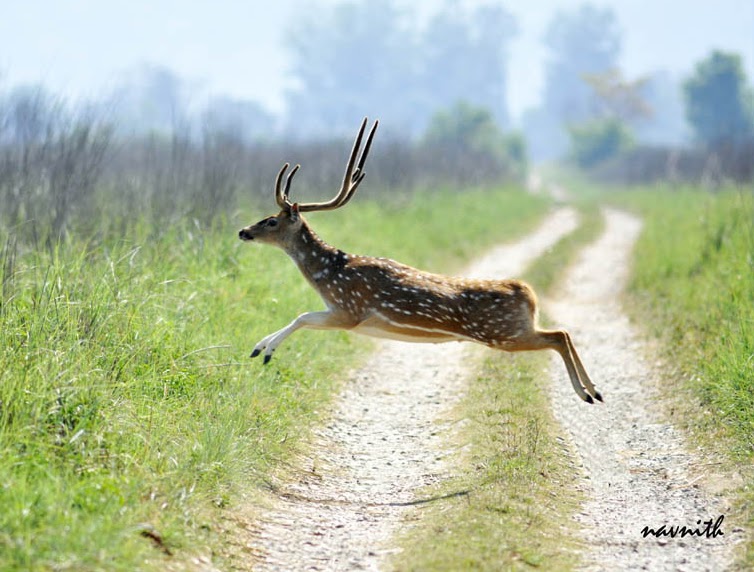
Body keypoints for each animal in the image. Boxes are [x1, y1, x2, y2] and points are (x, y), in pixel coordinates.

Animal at [238, 118, 602, 403]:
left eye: (271, 221)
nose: (243, 231)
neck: (330, 273)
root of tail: (527, 292)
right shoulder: (344, 313)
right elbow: (302, 317)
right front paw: (259, 348)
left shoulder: (350, 311)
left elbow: (301, 316)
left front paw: (264, 351)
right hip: (510, 331)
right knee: (562, 333)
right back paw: (594, 390)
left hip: (502, 333)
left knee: (558, 335)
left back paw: (586, 391)